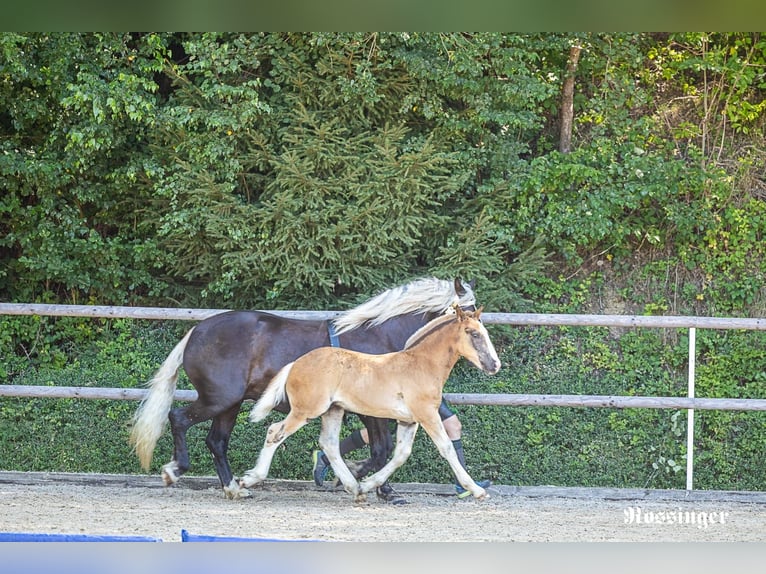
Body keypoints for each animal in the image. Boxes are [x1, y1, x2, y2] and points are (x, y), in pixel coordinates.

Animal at [129, 277, 477, 500]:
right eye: (469, 310)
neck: (380, 335)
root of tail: (196, 331)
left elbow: (380, 449)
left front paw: (353, 479)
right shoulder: (372, 410)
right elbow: (381, 449)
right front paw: (374, 487)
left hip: (230, 404)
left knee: (216, 441)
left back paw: (234, 487)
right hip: (218, 398)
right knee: (179, 419)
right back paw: (176, 470)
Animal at [240, 306, 501, 502]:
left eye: (484, 332)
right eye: (472, 333)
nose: (494, 365)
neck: (420, 365)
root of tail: (296, 363)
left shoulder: (409, 420)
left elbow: (401, 454)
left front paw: (368, 485)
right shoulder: (427, 414)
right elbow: (445, 448)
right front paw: (477, 490)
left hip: (333, 411)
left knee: (329, 444)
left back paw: (354, 488)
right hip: (306, 410)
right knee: (275, 431)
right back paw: (245, 481)